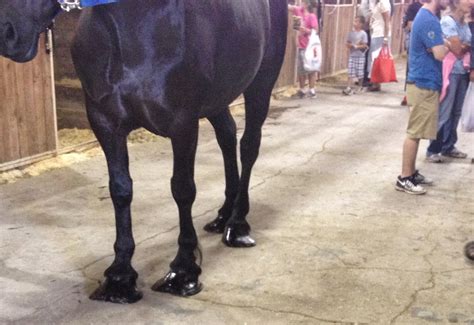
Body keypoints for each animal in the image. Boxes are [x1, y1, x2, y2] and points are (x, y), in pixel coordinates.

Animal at [0, 0, 286, 302]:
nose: (7, 31)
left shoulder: (183, 123)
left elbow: (183, 190)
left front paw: (183, 271)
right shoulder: (105, 124)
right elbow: (120, 190)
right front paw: (120, 277)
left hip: (260, 86)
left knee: (249, 146)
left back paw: (238, 225)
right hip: (217, 100)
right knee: (227, 136)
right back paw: (223, 216)